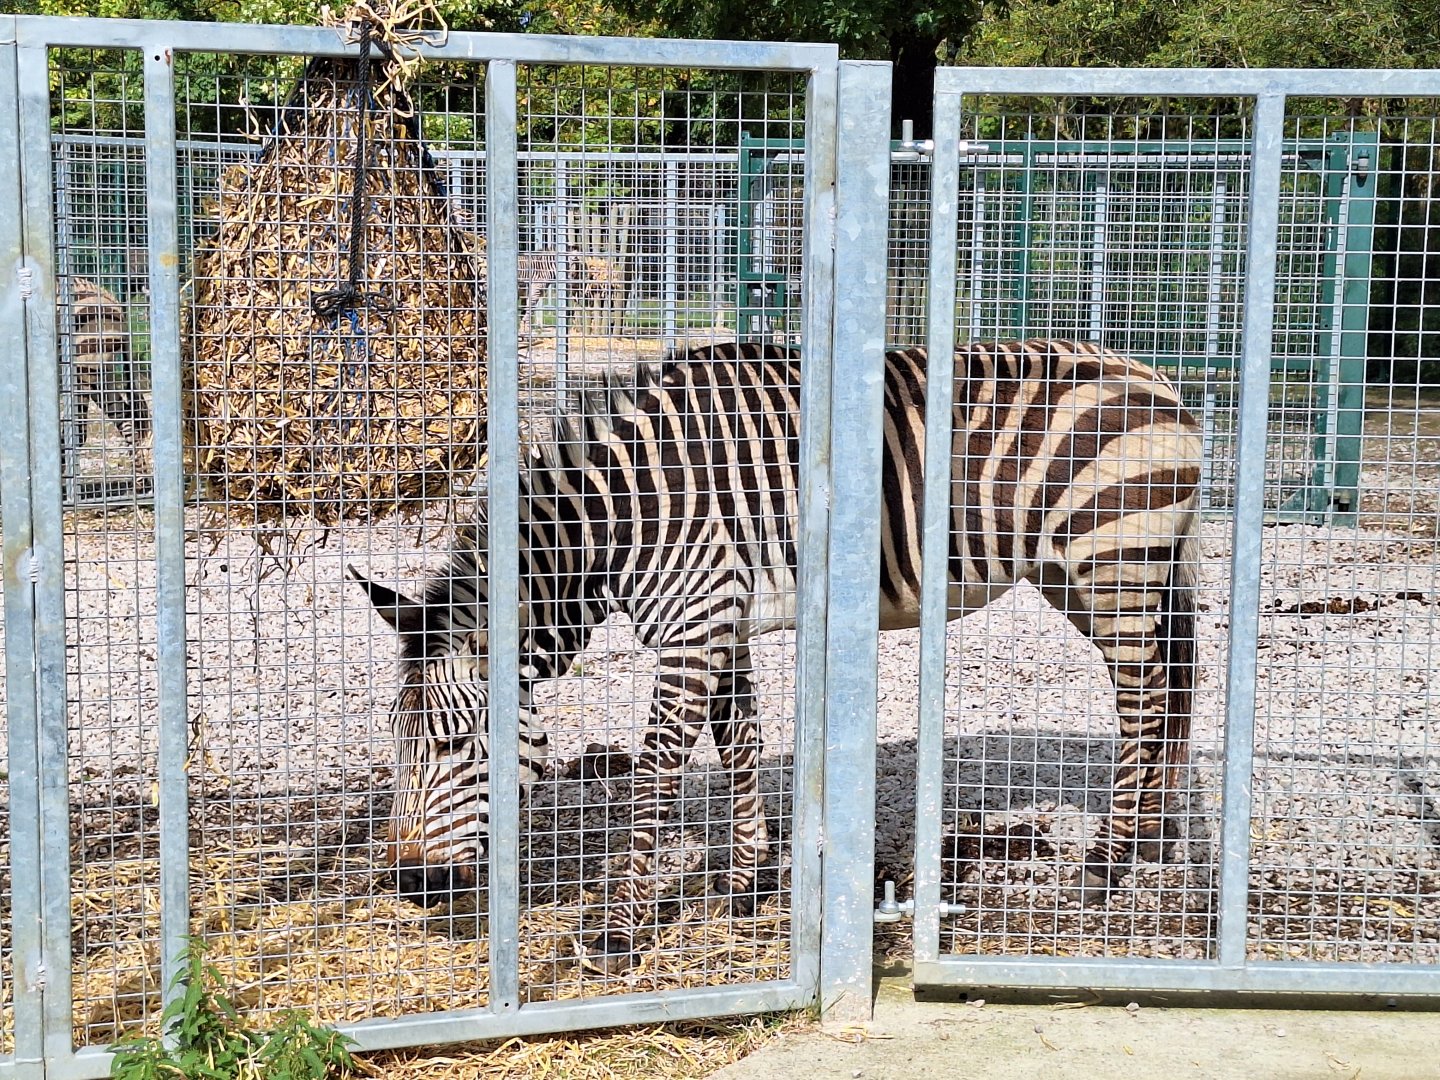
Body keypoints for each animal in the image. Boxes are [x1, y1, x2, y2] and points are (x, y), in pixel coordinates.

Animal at [351, 338, 1204, 972]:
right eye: (395, 745)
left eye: (454, 744)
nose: (412, 885)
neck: (618, 522)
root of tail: (1157, 375)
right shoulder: (719, 624)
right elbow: (739, 743)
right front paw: (743, 883)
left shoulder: (692, 627)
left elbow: (658, 772)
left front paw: (619, 934)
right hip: (1084, 577)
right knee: (1163, 691)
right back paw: (1152, 835)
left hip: (1113, 562)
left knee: (1143, 700)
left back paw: (1104, 866)